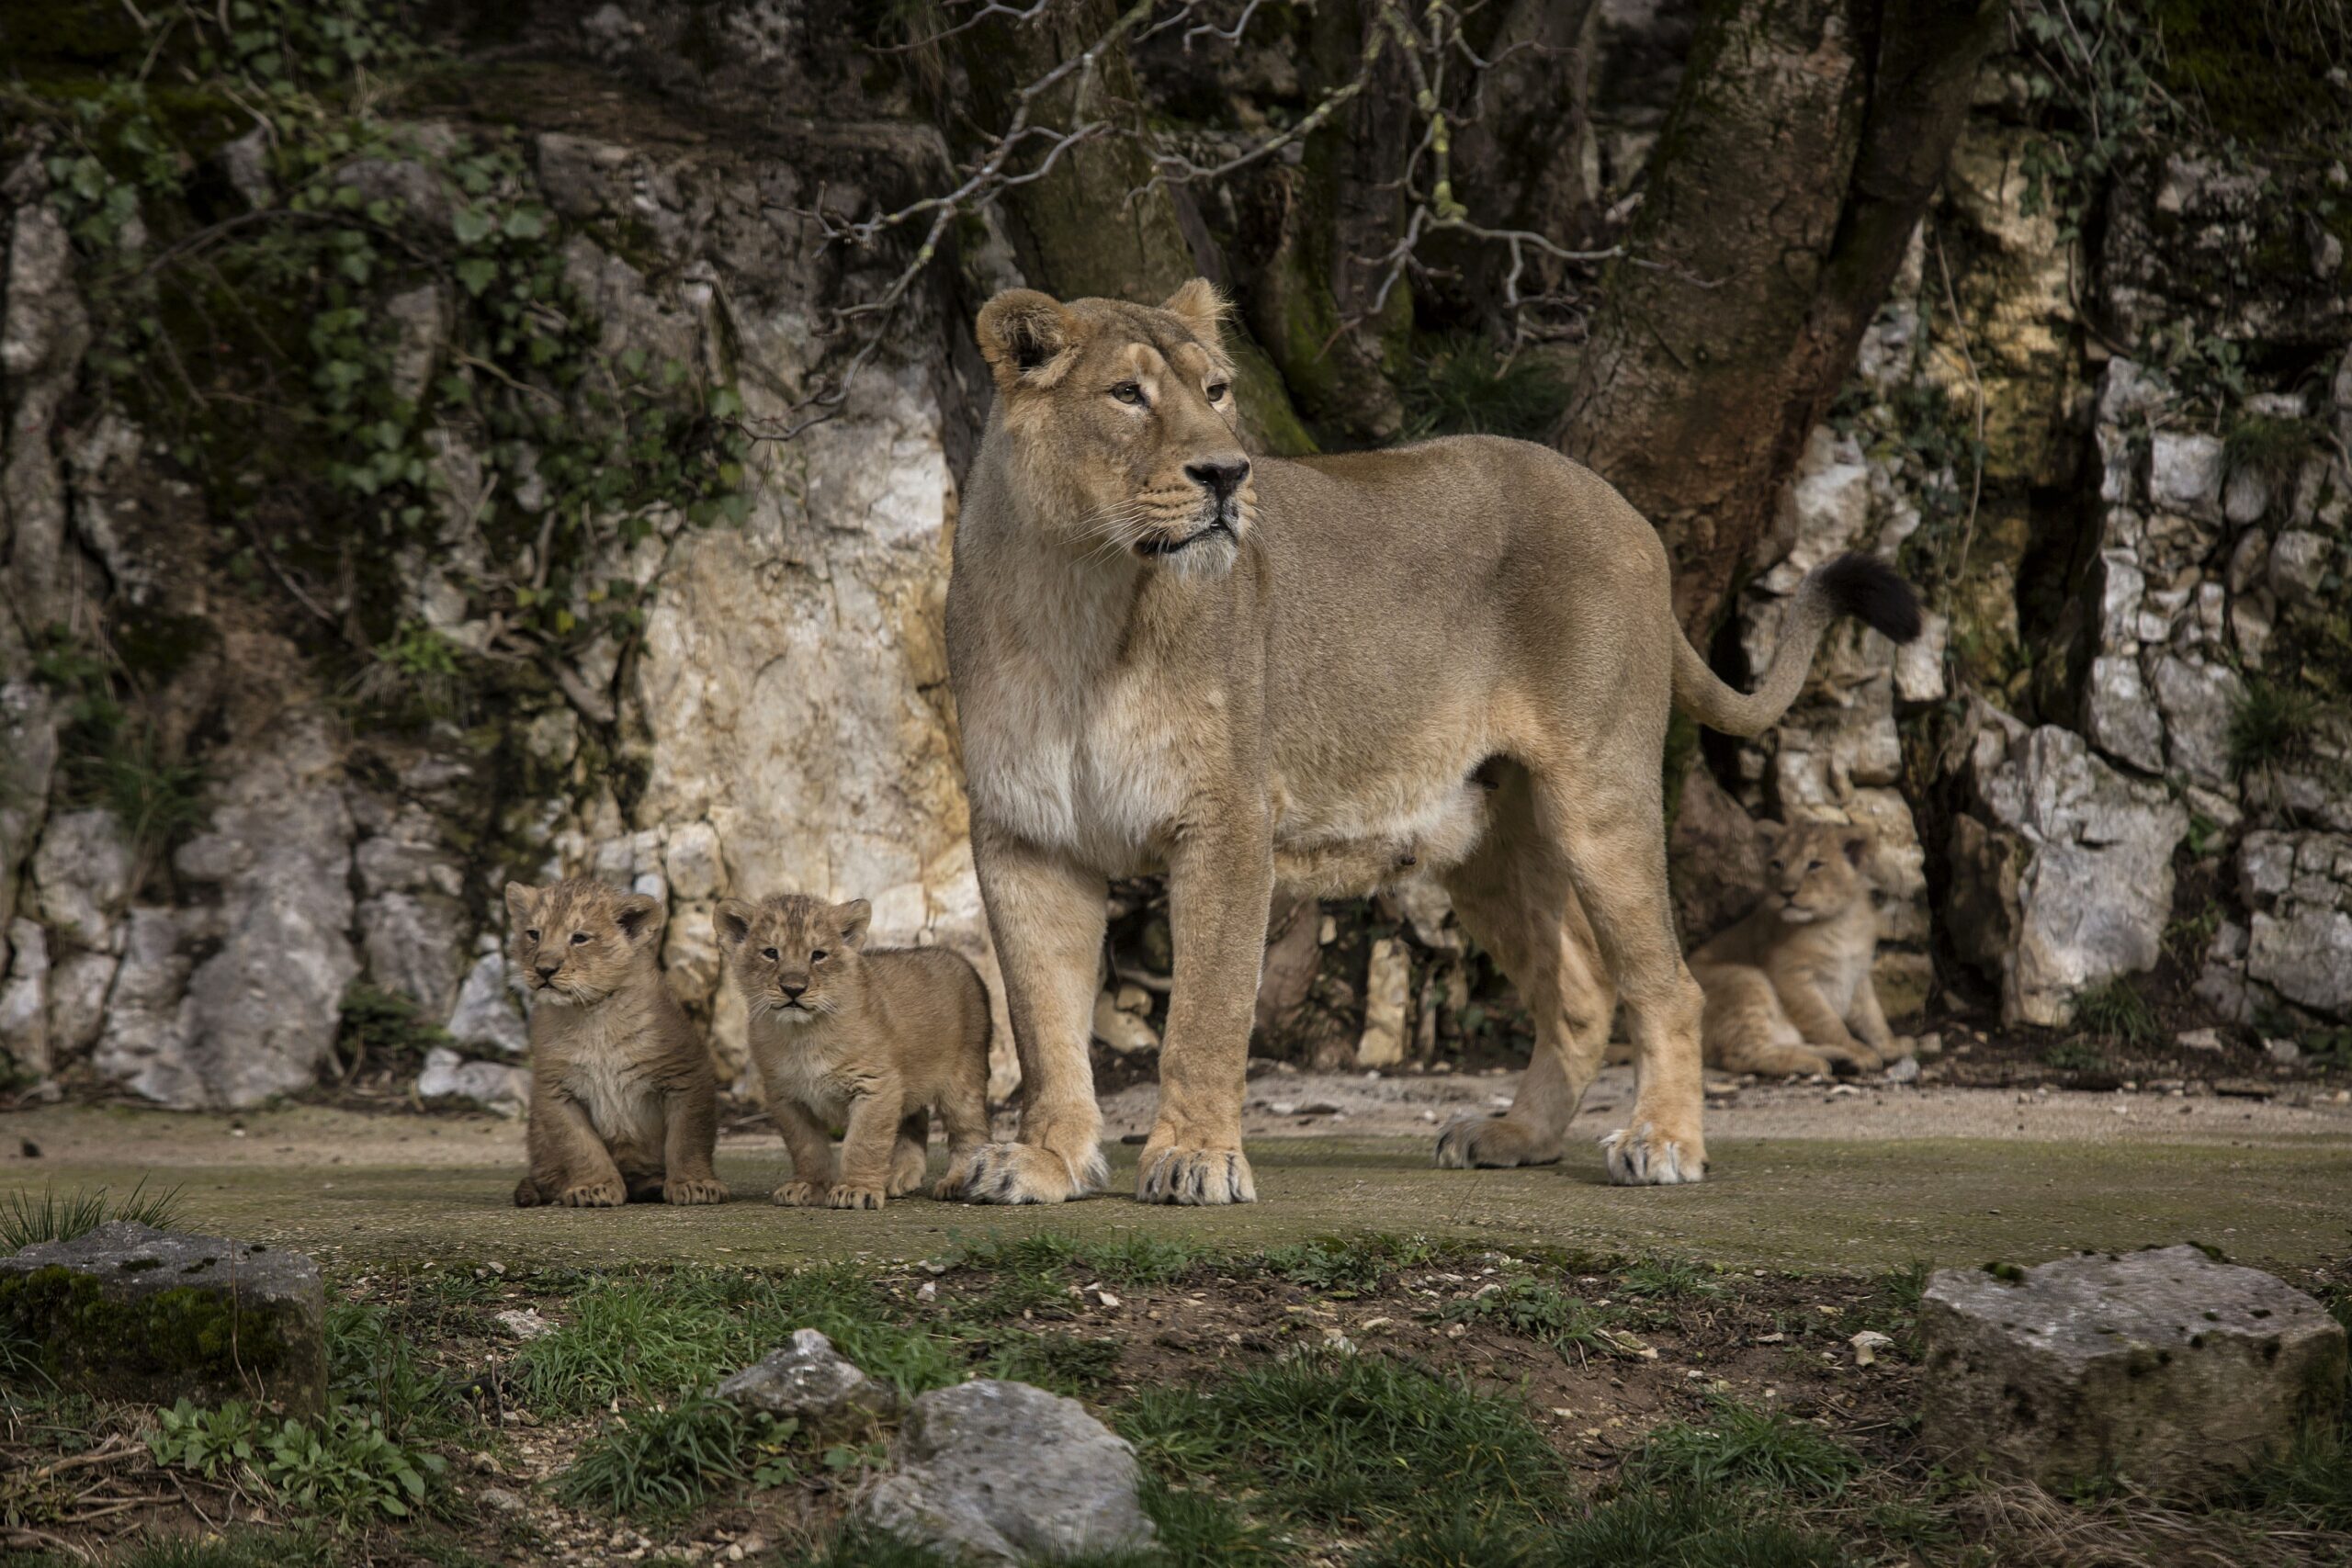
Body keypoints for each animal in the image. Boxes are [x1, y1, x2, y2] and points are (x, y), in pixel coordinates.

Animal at [507, 878, 728, 1208]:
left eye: (580, 938)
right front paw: (594, 1187)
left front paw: (694, 1184)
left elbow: (687, 1138)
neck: (593, 1013)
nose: (544, 969)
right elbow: (579, 1145)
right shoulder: (554, 1090)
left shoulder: (686, 1075)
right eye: (533, 934)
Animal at [714, 892, 992, 1210]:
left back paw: (957, 1181)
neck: (803, 1035)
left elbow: (864, 1141)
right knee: (915, 1119)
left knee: (970, 1131)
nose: (793, 989)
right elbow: (806, 1146)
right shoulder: (785, 1096)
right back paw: (898, 1176)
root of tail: (959, 957)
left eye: (818, 955)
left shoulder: (875, 1086)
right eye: (771, 953)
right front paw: (808, 1186)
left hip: (963, 1079)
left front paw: (855, 1190)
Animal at [1691, 820, 1900, 1079]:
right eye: (1777, 864)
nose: (1786, 892)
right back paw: (1814, 1062)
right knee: (1743, 1055)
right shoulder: (1791, 976)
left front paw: (1891, 1046)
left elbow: (1873, 1015)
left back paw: (1838, 1058)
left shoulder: (1858, 973)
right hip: (1744, 978)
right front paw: (1858, 1050)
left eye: (1815, 864)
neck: (1838, 923)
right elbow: (1827, 1022)